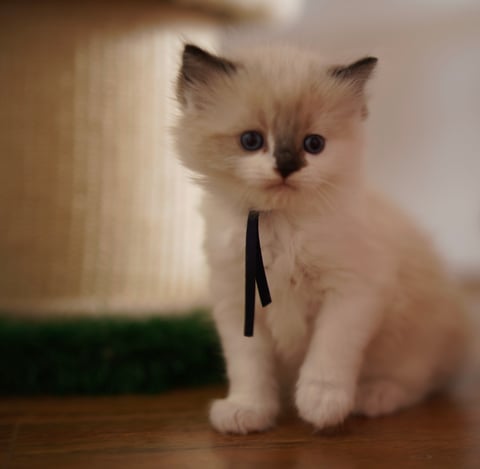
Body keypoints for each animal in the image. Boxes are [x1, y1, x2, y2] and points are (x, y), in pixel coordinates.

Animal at [173, 44, 468, 436]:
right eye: (251, 141)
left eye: (314, 144)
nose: (287, 166)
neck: (278, 226)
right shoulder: (236, 300)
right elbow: (249, 366)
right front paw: (248, 411)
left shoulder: (353, 290)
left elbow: (329, 353)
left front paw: (321, 405)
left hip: (413, 333)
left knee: (419, 380)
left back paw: (374, 396)